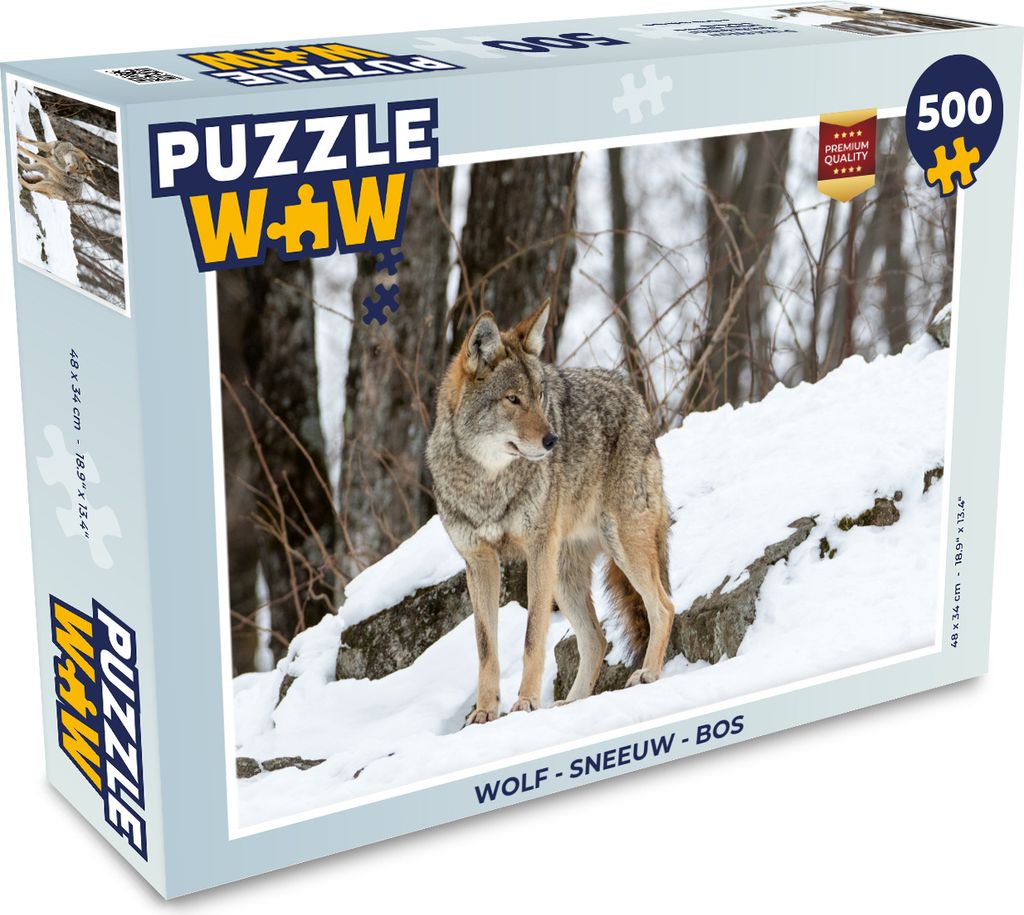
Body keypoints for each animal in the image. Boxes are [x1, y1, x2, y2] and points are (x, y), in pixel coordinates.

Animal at [426, 300, 674, 724]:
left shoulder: (537, 549)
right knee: (596, 638)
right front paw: (485, 711)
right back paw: (570, 705)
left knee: (663, 607)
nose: (552, 440)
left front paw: (525, 703)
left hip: (621, 545)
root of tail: (632, 394)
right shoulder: (479, 562)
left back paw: (648, 673)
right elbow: (486, 648)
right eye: (512, 399)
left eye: (540, 395)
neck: (487, 483)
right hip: (565, 573)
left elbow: (532, 637)